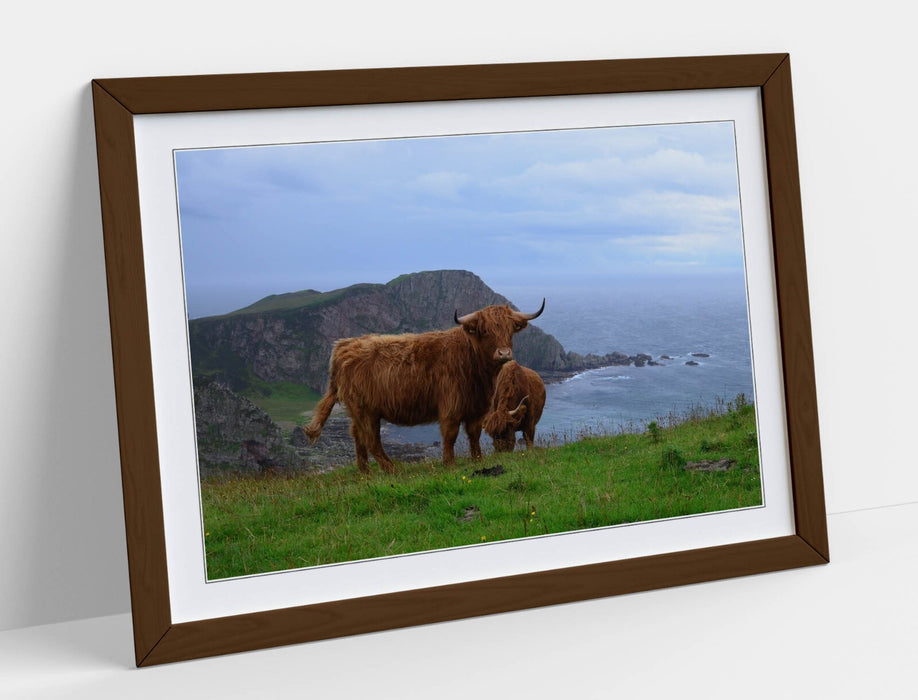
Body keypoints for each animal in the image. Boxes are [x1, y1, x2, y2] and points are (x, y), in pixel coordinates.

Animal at [304, 300, 545, 473]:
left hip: (357, 411)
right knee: (371, 440)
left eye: (510, 329)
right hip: (366, 410)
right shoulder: (450, 406)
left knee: (357, 437)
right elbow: (450, 435)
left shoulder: (477, 408)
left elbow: (474, 435)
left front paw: (478, 460)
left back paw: (365, 473)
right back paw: (393, 470)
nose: (504, 353)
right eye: (485, 331)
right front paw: (449, 464)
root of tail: (344, 346)